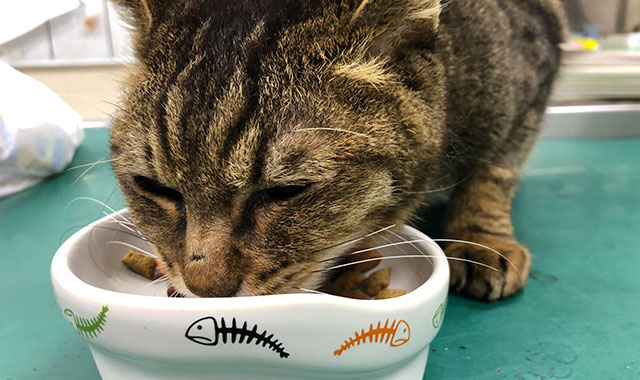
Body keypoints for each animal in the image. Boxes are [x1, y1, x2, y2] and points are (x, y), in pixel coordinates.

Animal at [109, 0, 564, 302]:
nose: (206, 290)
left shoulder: (534, 76)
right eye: (154, 187)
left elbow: (493, 172)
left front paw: (482, 240)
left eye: (285, 192)